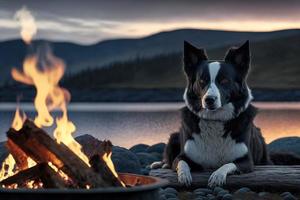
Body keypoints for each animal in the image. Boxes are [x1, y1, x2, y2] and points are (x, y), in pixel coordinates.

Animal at [151, 40, 300, 188]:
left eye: (224, 81)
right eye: (202, 81)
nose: (209, 99)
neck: (215, 119)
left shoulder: (246, 161)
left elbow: (228, 164)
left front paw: (218, 176)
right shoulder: (182, 156)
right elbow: (181, 163)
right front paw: (184, 176)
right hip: (174, 136)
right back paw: (161, 164)